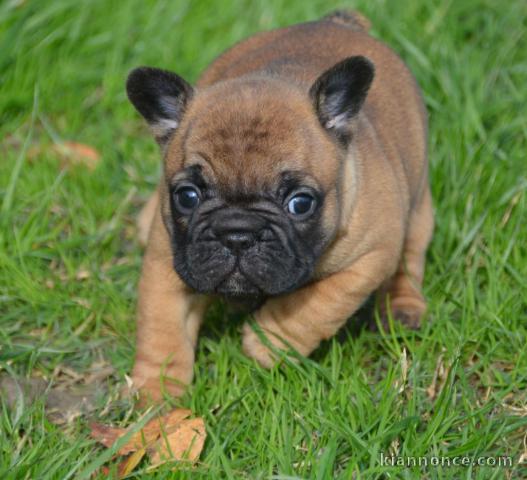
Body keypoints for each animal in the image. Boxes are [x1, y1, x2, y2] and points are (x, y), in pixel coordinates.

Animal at [127, 12, 434, 402]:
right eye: (187, 196)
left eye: (300, 203)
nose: (237, 234)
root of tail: (338, 20)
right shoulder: (168, 259)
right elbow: (162, 327)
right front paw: (156, 394)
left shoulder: (371, 256)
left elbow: (321, 301)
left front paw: (268, 339)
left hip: (420, 208)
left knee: (410, 259)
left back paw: (402, 307)